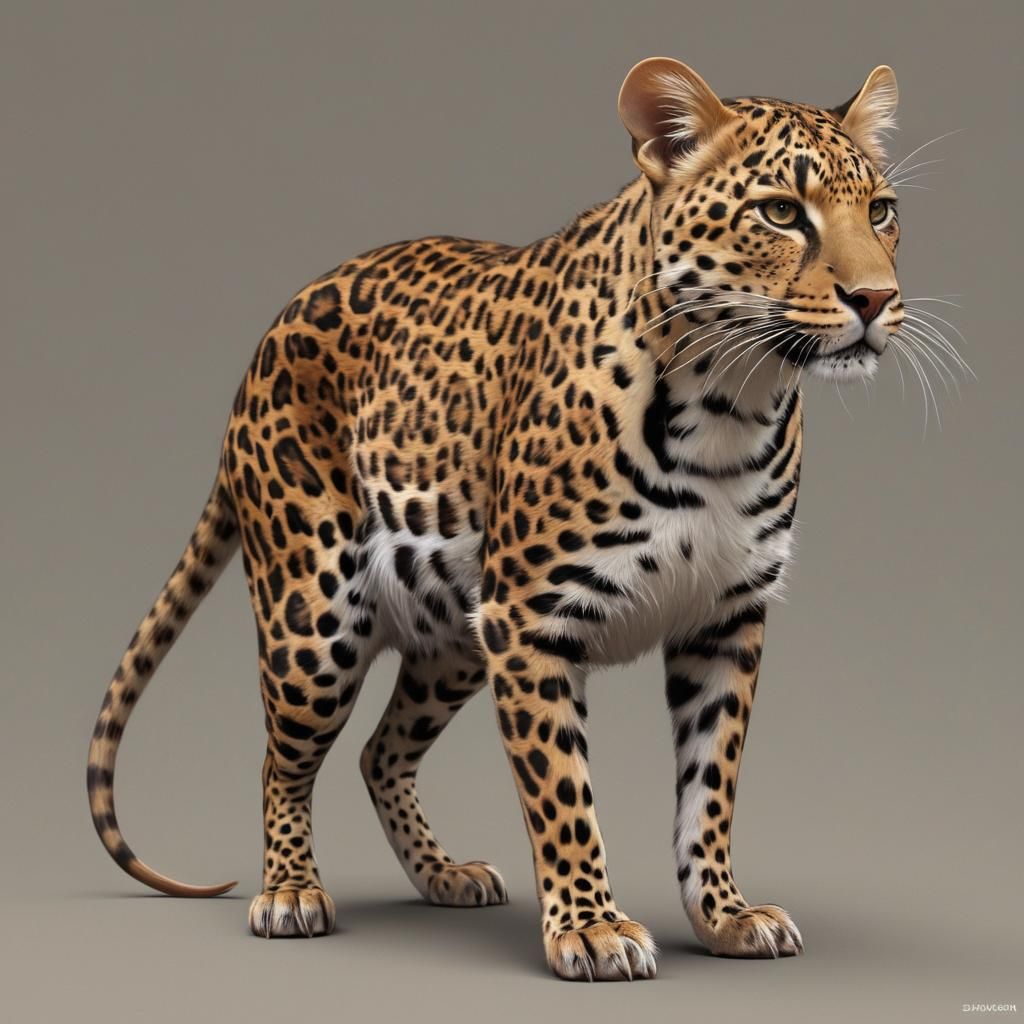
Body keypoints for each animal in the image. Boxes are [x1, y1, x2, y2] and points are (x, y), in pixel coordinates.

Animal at [89, 58, 909, 981]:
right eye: (780, 212)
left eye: (882, 211)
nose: (877, 297)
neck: (734, 403)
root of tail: (275, 326)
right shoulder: (533, 619)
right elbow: (562, 791)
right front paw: (591, 928)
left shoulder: (725, 622)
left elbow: (710, 785)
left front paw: (725, 915)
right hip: (317, 620)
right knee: (282, 759)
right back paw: (291, 891)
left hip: (454, 635)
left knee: (379, 752)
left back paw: (444, 875)